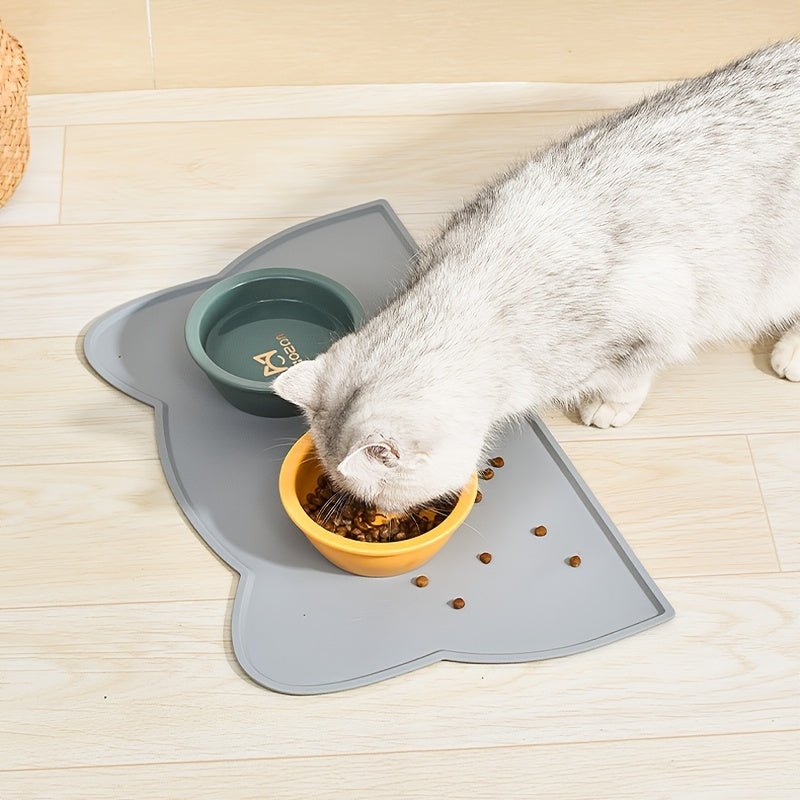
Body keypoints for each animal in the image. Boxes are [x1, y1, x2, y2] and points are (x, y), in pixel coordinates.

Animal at [274, 40, 800, 512]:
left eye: (375, 497)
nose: (379, 514)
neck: (477, 289)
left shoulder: (655, 323)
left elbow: (630, 376)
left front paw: (609, 405)